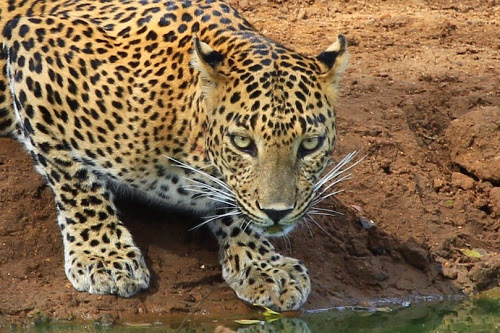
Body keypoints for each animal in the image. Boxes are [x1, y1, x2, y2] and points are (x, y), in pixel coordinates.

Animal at [0, 0, 348, 312]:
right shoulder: (35, 44)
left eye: (310, 145)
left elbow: (236, 207)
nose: (278, 212)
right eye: (242, 142)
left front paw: (263, 265)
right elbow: (75, 180)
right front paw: (103, 256)